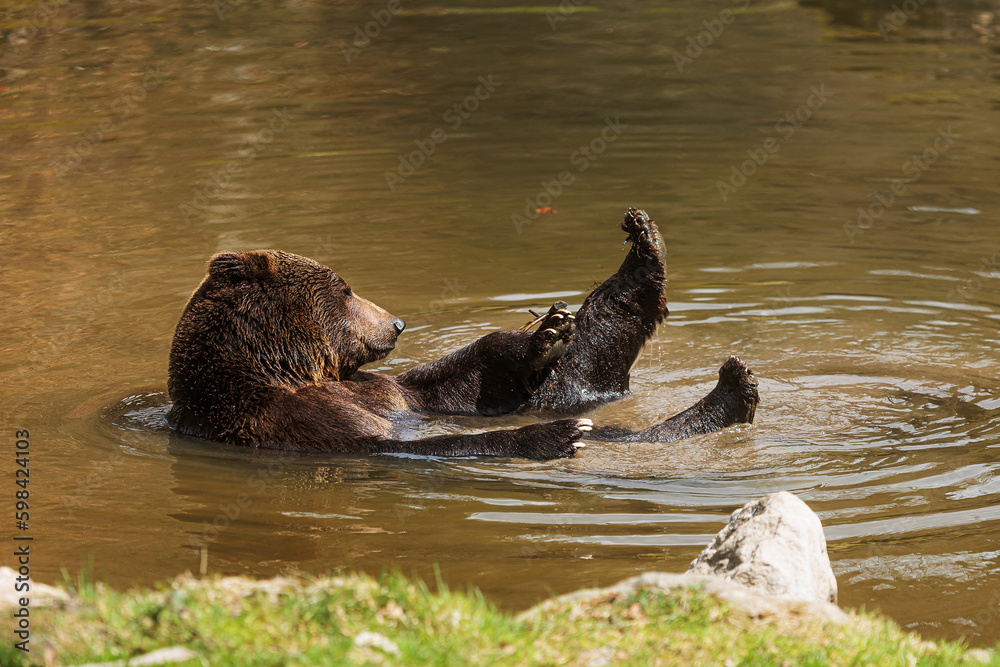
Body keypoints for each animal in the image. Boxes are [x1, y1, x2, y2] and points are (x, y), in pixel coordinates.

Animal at [168, 209, 756, 460]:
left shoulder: (376, 391)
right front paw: (550, 436)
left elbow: (448, 387)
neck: (292, 371)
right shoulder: (288, 420)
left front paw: (541, 336)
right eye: (345, 288)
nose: (396, 323)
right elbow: (397, 445)